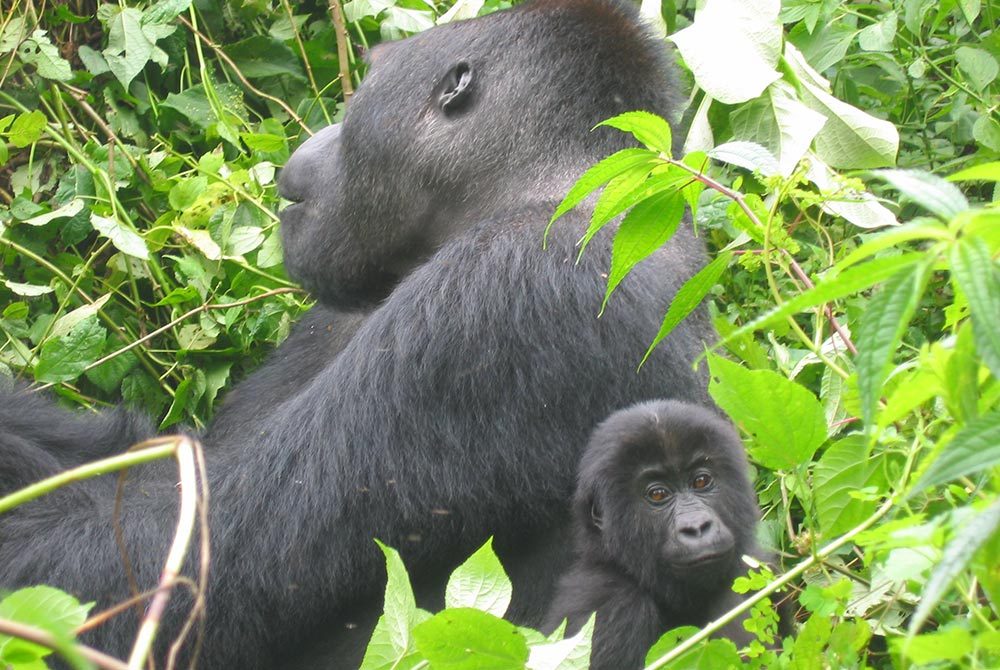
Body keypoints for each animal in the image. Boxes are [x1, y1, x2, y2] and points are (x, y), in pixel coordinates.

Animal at [3, 2, 716, 668]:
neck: (551, 188)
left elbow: (159, 574)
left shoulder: (505, 293)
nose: (314, 134)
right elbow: (158, 465)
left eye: (358, 97)